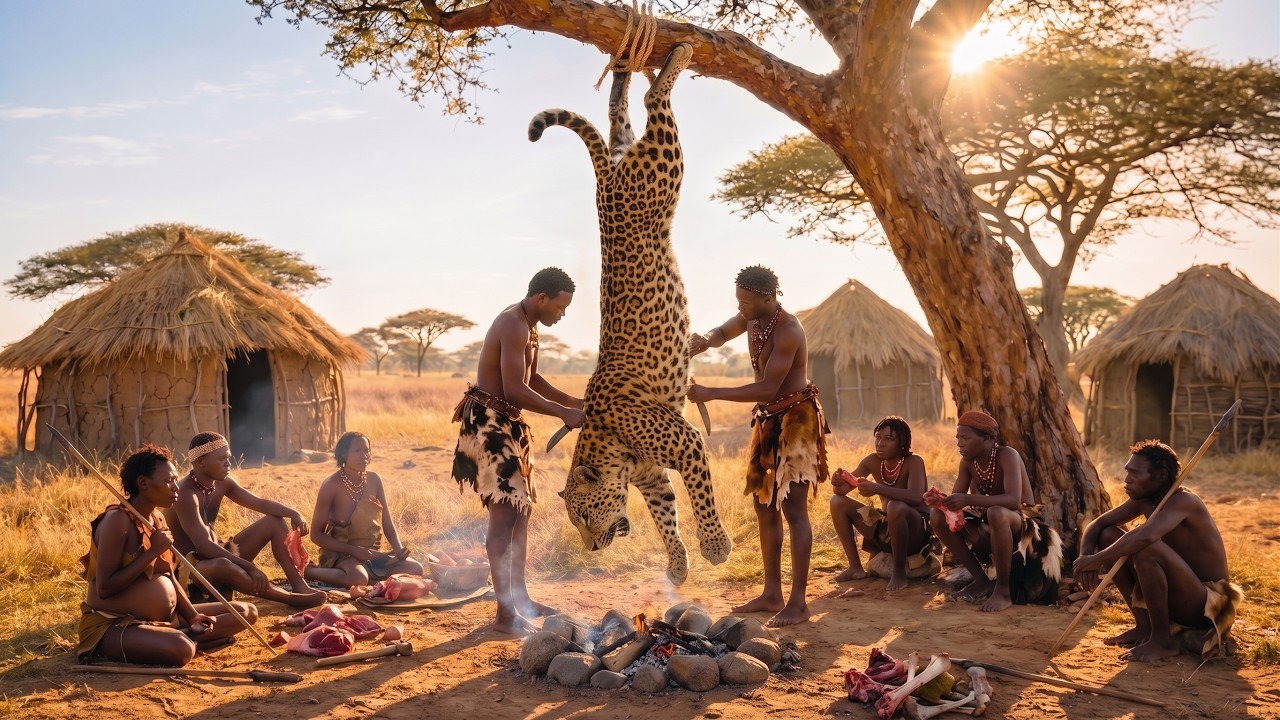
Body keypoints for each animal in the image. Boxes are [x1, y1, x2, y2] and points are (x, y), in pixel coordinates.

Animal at [527, 43, 731, 585]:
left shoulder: (686, 444)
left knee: (653, 106)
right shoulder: (653, 476)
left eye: (580, 514)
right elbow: (666, 516)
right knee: (619, 117)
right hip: (634, 156)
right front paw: (678, 565)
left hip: (661, 172)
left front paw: (715, 545)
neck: (609, 444)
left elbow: (701, 496)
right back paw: (625, 71)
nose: (590, 547)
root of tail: (604, 180)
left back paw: (677, 56)